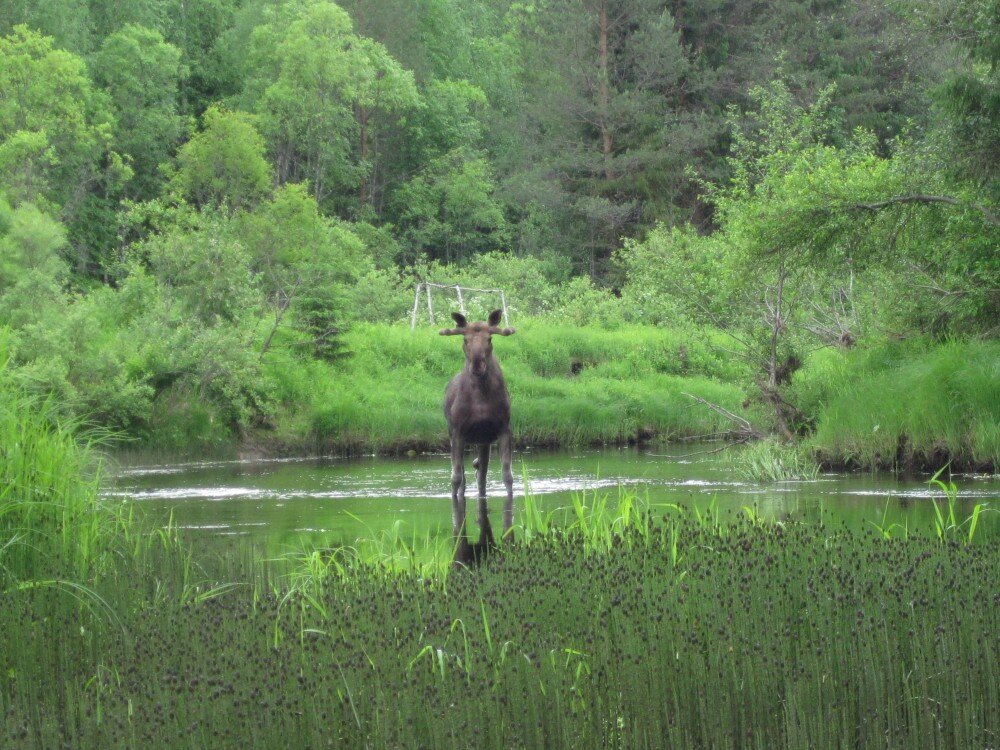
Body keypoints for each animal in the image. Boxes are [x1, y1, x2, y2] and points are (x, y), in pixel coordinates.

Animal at [440, 306, 516, 564]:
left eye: (489, 339)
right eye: (465, 339)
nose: (477, 365)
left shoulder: (504, 429)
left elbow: (507, 476)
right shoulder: (457, 432)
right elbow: (455, 479)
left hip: (483, 443)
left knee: (481, 477)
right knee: (466, 476)